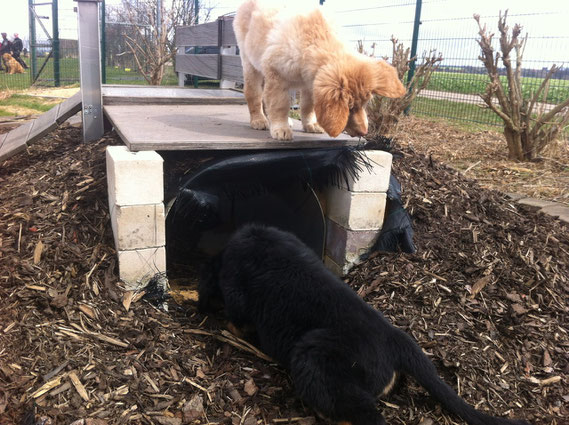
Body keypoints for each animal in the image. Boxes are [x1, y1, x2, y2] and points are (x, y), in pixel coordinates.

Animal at [233, 0, 406, 142]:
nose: (364, 132)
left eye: (364, 104)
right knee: (254, 94)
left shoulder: (311, 83)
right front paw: (280, 128)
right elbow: (279, 105)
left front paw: (310, 124)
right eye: (349, 108)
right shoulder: (276, 76)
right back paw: (259, 120)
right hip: (250, 63)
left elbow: (308, 106)